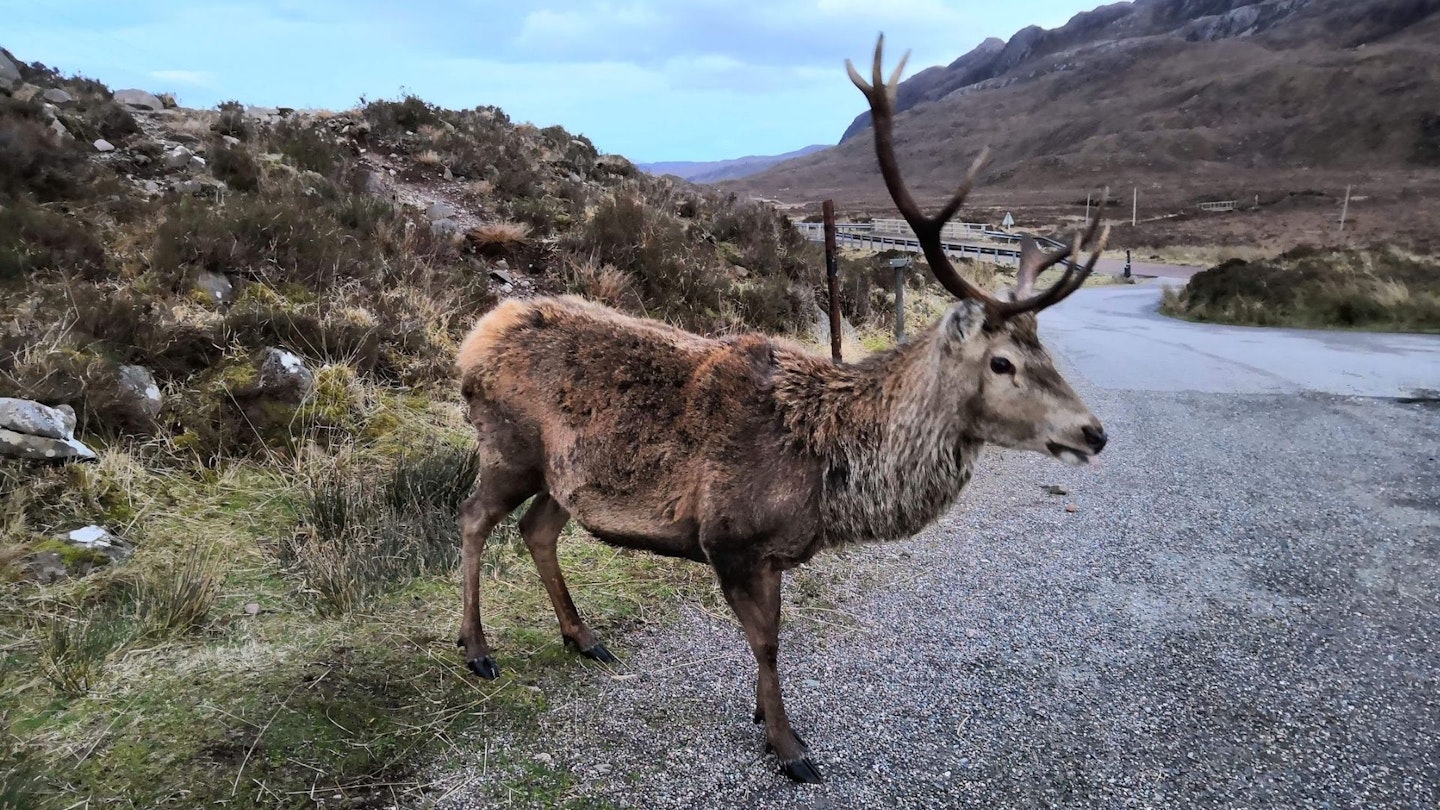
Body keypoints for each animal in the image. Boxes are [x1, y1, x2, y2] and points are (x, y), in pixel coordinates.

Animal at [455, 36, 1105, 784]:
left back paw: (582, 636)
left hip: (563, 475)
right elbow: (767, 644)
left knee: (537, 530)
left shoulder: (772, 553)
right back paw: (476, 649)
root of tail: (476, 335)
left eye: (1042, 346)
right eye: (1002, 362)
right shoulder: (732, 539)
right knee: (473, 518)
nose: (1093, 432)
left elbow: (767, 642)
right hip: (508, 446)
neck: (830, 479)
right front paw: (789, 745)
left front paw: (766, 719)